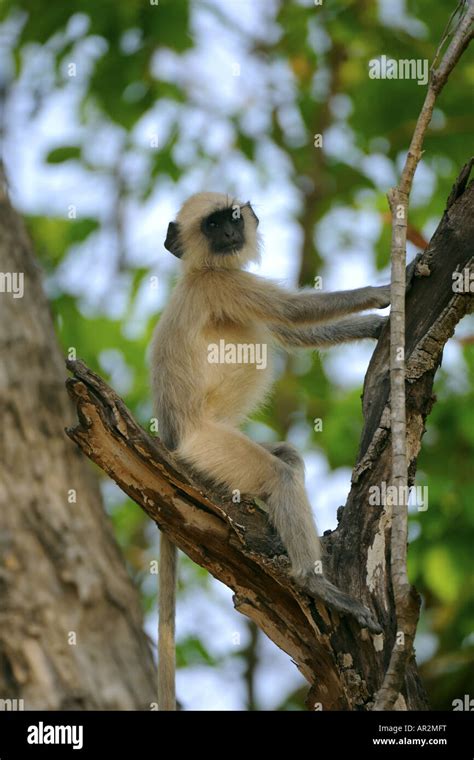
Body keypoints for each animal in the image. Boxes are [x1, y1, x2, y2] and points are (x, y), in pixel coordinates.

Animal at [149, 189, 388, 708]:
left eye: (232, 218)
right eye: (212, 225)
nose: (229, 233)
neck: (200, 270)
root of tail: (171, 439)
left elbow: (293, 332)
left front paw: (374, 326)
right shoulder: (224, 285)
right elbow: (293, 313)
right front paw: (384, 292)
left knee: (288, 463)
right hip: (209, 446)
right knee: (278, 475)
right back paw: (313, 581)